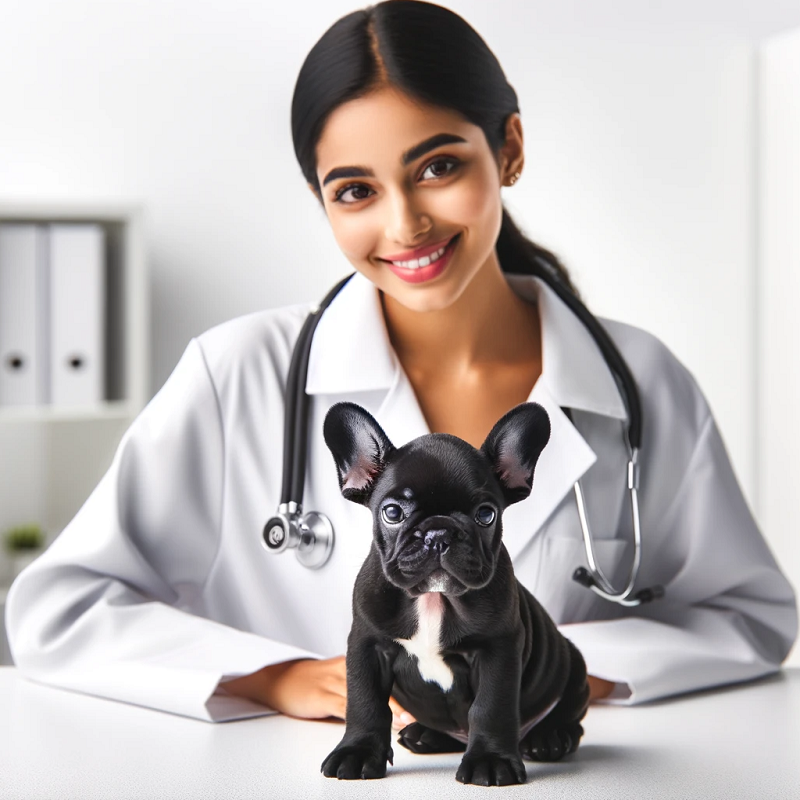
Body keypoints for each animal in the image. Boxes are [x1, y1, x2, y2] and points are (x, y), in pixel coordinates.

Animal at [318, 400, 588, 788]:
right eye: (392, 512)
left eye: (486, 514)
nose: (439, 533)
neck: (433, 598)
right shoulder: (367, 645)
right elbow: (365, 703)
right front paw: (357, 752)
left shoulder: (497, 650)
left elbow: (490, 708)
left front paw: (490, 760)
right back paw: (425, 735)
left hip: (574, 665)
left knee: (570, 718)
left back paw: (550, 738)